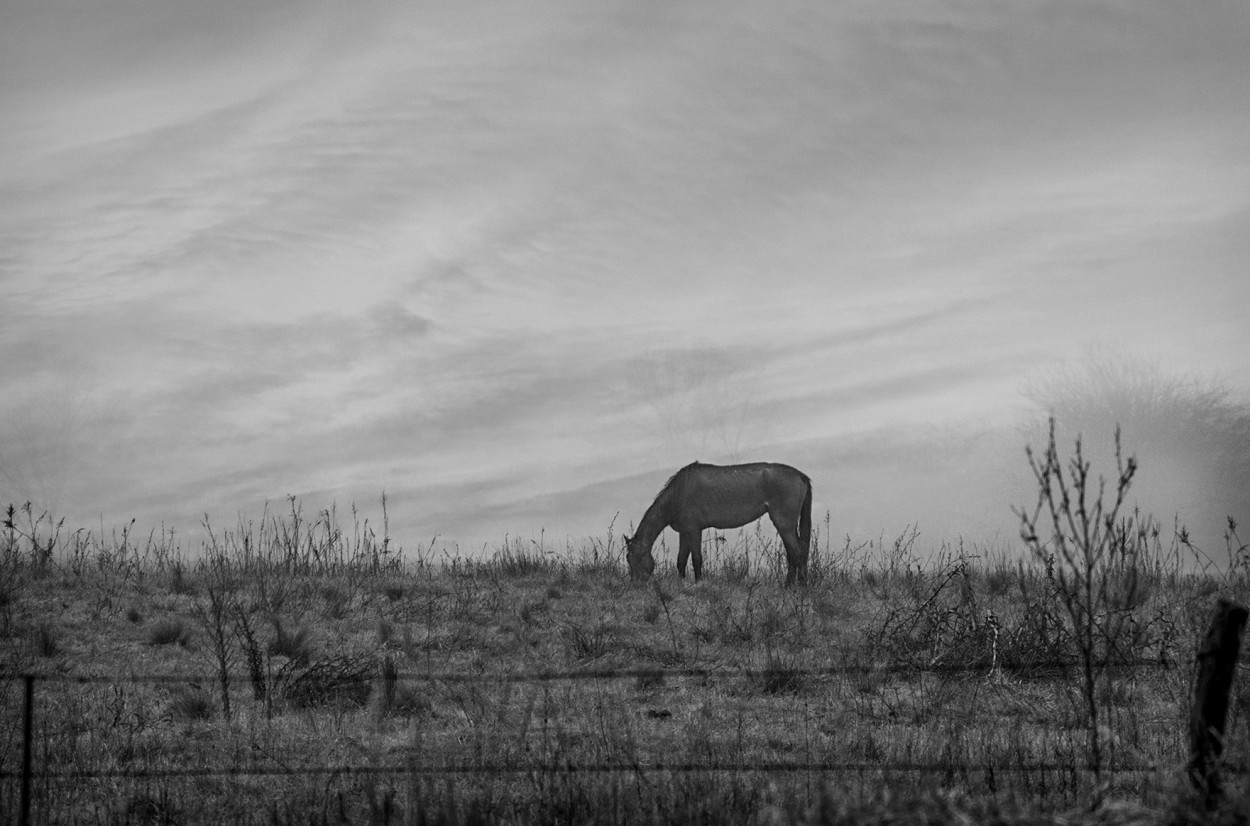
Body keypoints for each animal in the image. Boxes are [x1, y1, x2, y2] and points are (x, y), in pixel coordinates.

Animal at [622, 459, 815, 582]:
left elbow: (696, 559)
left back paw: (789, 586)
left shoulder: (694, 530)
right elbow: (681, 560)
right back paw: (801, 584)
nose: (635, 584)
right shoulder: (684, 532)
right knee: (799, 551)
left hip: (783, 523)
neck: (678, 494)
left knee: (795, 553)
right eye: (628, 559)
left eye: (635, 558)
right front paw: (681, 582)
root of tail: (801, 476)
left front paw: (699, 582)